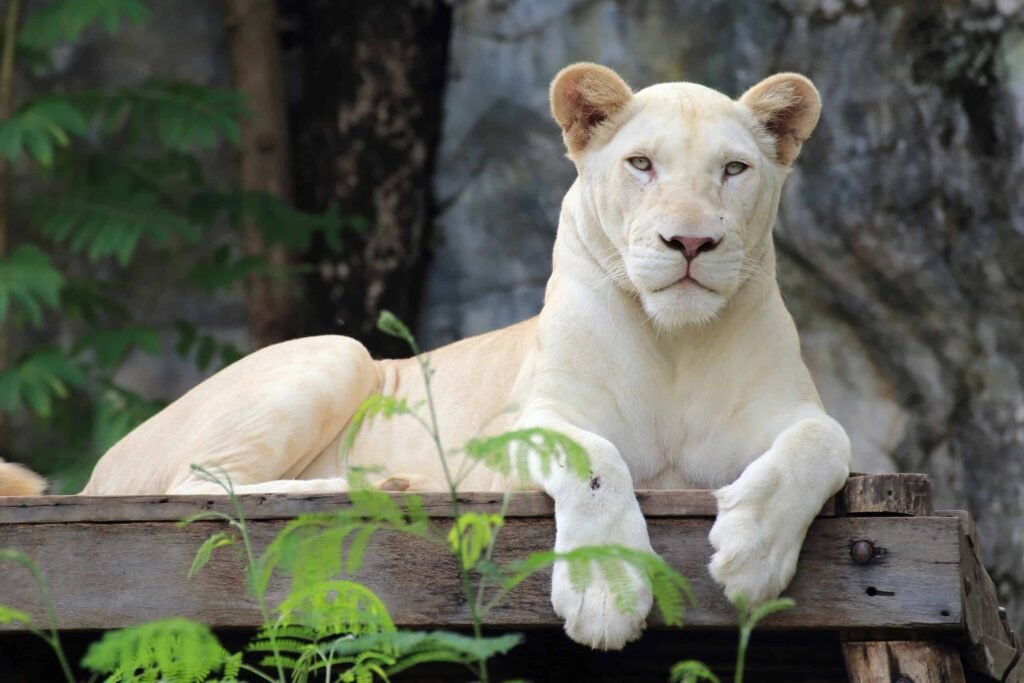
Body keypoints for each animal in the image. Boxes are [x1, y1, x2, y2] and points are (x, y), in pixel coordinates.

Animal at [0, 63, 851, 650]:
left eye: (734, 170)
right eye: (641, 164)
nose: (691, 242)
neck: (675, 341)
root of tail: (97, 475)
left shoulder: (792, 412)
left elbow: (824, 441)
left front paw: (752, 554)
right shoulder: (521, 430)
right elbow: (597, 458)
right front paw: (606, 592)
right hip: (338, 351)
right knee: (199, 486)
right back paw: (372, 482)